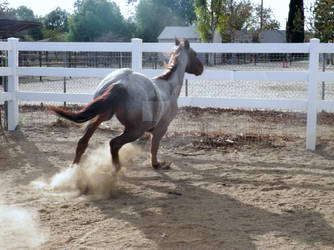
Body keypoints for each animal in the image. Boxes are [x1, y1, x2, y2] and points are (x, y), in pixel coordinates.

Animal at [48, 38, 202, 172]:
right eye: (194, 53)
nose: (201, 68)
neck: (168, 86)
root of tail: (120, 83)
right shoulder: (161, 128)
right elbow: (154, 147)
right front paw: (157, 164)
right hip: (135, 130)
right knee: (114, 144)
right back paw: (117, 170)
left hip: (103, 116)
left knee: (83, 142)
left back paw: (73, 169)